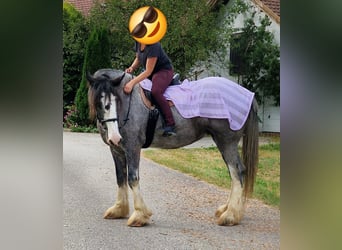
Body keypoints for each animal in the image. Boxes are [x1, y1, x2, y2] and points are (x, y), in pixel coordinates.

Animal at [87, 68, 258, 227]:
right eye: (97, 103)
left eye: (115, 100)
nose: (115, 136)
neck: (129, 102)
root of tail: (246, 94)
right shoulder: (117, 150)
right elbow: (120, 178)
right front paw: (119, 209)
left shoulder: (132, 147)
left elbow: (132, 178)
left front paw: (139, 215)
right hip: (223, 143)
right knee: (236, 172)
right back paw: (229, 210)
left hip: (227, 142)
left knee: (236, 173)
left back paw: (230, 215)